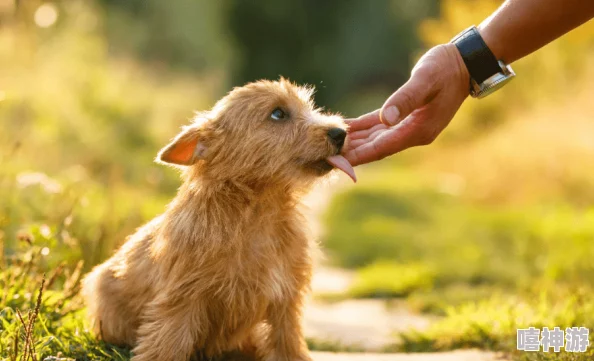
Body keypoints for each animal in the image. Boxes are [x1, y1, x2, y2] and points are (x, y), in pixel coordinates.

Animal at [81, 79, 354, 360]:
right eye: (278, 113)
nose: (340, 132)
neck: (257, 213)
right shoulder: (183, 298)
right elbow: (169, 342)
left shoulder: (285, 301)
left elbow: (288, 345)